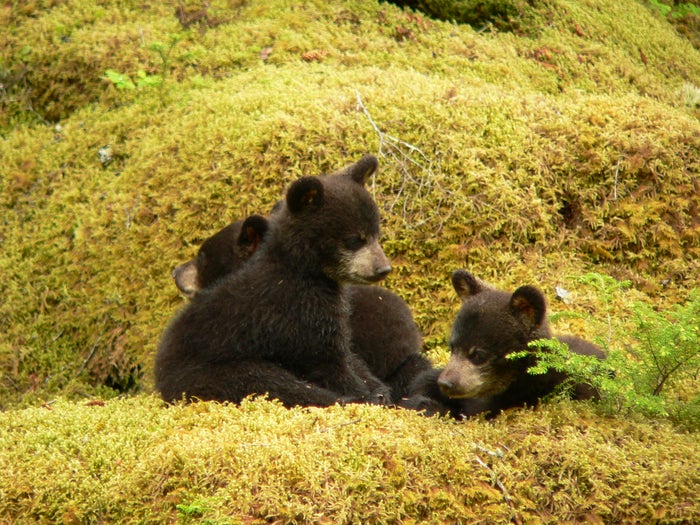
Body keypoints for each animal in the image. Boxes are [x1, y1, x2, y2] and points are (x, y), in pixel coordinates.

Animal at [155, 155, 395, 407]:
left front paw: (377, 389)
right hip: (215, 371)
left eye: (376, 234)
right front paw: (363, 394)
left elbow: (349, 355)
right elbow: (326, 359)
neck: (305, 271)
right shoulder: (297, 310)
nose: (383, 268)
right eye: (355, 239)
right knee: (268, 382)